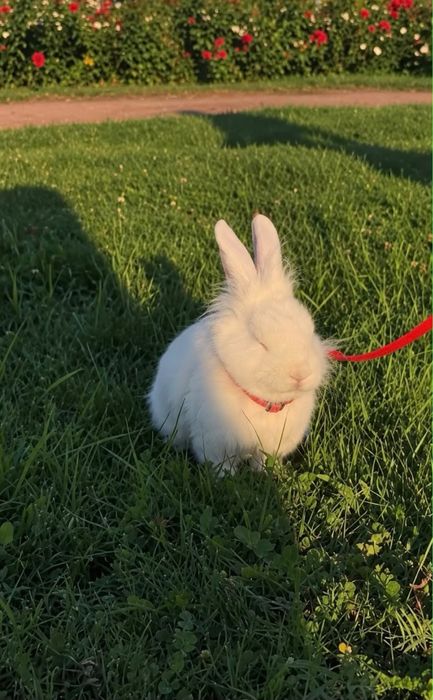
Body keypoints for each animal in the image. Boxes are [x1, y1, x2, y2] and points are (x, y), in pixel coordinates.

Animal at [148, 214, 331, 474]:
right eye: (260, 342)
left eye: (311, 330)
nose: (300, 374)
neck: (265, 403)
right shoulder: (214, 443)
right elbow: (221, 464)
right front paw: (227, 477)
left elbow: (262, 461)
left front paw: (266, 474)